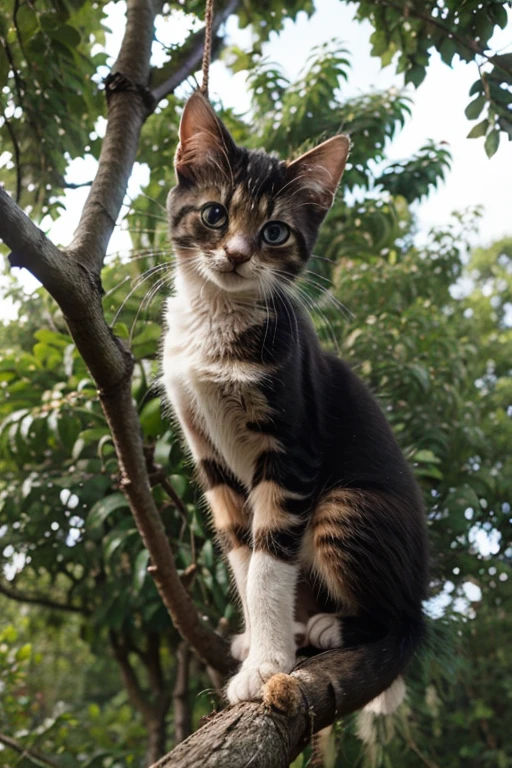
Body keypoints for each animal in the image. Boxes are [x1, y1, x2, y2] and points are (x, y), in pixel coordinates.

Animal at [163, 93, 428, 712]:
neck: (218, 318)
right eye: (214, 214)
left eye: (275, 231)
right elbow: (242, 553)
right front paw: (263, 646)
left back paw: (337, 625)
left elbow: (268, 559)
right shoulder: (209, 454)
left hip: (346, 505)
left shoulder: (292, 445)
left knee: (403, 622)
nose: (237, 255)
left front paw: (266, 666)